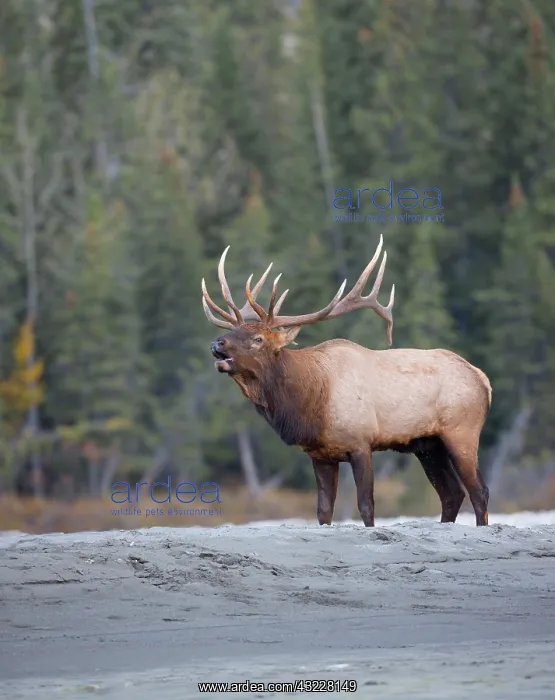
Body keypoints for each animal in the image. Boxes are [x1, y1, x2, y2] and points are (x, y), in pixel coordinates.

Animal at [201, 235, 492, 527]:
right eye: (234, 331)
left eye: (258, 339)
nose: (217, 342)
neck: (310, 403)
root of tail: (483, 379)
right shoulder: (319, 454)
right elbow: (323, 511)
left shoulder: (361, 443)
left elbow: (365, 506)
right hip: (428, 445)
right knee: (451, 493)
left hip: (462, 431)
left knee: (479, 491)